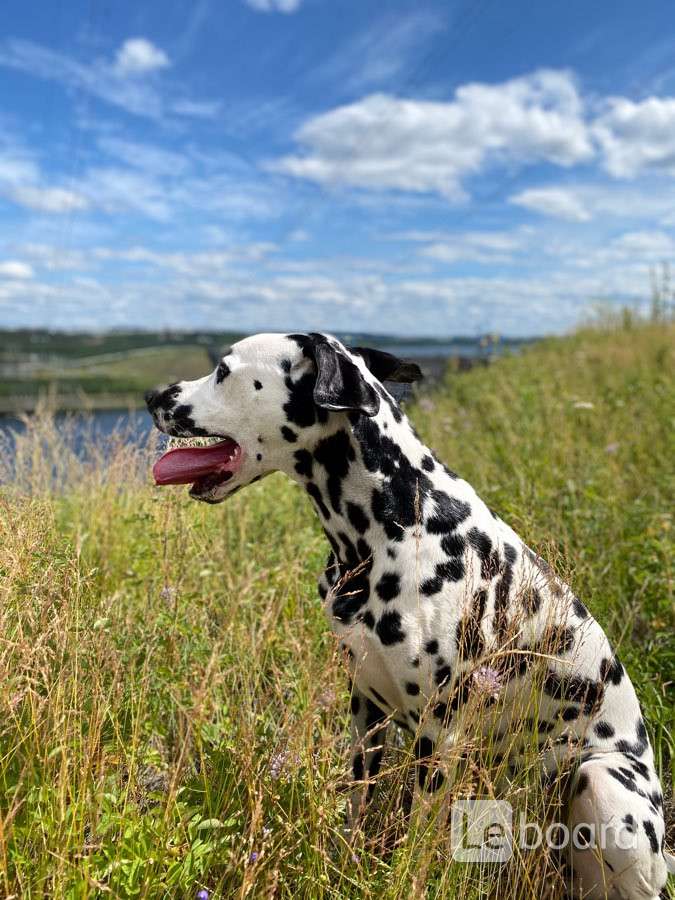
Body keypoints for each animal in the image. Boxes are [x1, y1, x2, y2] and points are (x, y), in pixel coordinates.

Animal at [146, 332, 671, 899]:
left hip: (603, 781)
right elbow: (358, 803)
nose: (152, 396)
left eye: (223, 370)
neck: (393, 521)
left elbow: (418, 835)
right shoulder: (365, 708)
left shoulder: (438, 735)